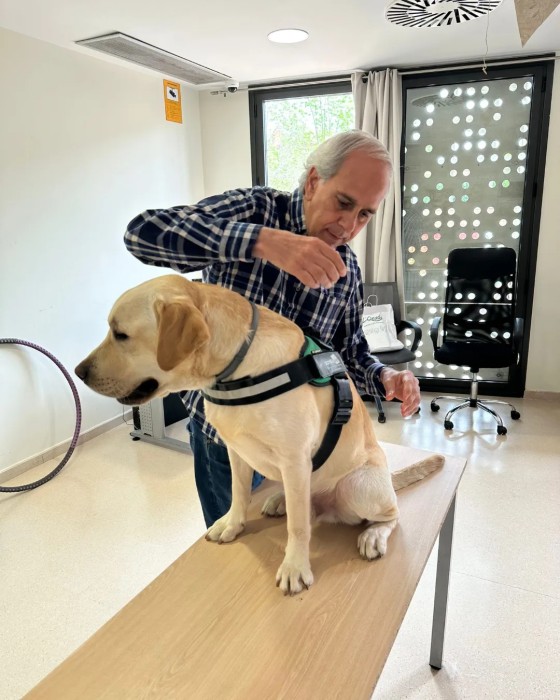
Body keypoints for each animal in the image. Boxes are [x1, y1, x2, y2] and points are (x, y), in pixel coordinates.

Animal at [75, 274, 443, 595]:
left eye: (120, 334)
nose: (79, 372)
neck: (237, 370)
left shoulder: (295, 459)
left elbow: (298, 527)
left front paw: (295, 567)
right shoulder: (237, 450)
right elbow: (238, 494)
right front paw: (232, 524)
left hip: (357, 485)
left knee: (390, 514)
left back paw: (373, 535)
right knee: (304, 501)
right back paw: (280, 499)